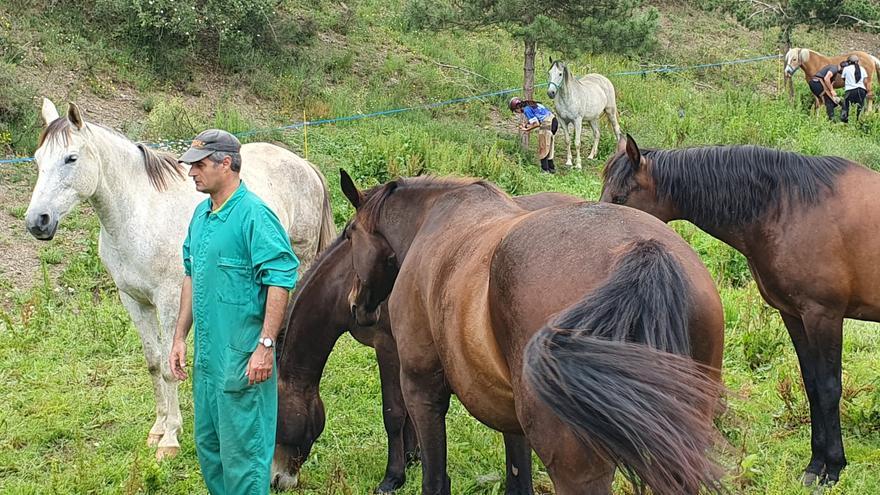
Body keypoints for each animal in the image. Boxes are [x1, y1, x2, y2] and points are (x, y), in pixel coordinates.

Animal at [24, 100, 336, 462]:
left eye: (71, 158)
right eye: (38, 160)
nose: (37, 222)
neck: (139, 214)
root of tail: (304, 166)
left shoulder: (170, 299)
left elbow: (169, 365)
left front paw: (170, 439)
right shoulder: (133, 300)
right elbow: (153, 363)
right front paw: (157, 429)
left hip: (297, 267)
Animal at [272, 192, 580, 494]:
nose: (277, 479)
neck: (347, 280)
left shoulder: (388, 348)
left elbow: (394, 413)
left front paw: (393, 476)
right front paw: (412, 456)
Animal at [340, 171, 724, 495]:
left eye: (349, 233)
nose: (356, 305)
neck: (431, 221)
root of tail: (641, 251)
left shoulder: (422, 389)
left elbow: (434, 478)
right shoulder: (510, 413)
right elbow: (517, 477)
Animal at [600, 136, 880, 488]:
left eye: (620, 198)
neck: (792, 207)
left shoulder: (823, 316)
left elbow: (829, 388)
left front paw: (833, 468)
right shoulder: (794, 315)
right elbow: (813, 386)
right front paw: (816, 464)